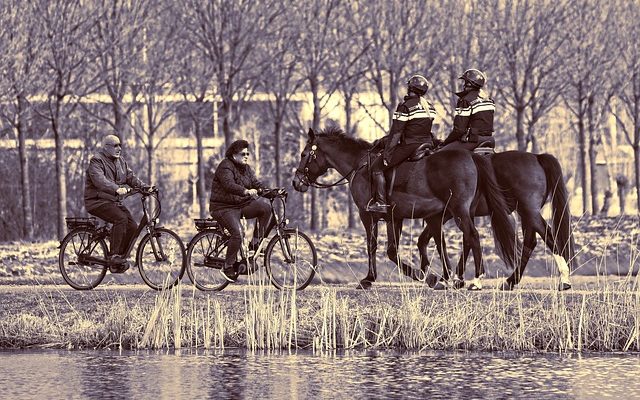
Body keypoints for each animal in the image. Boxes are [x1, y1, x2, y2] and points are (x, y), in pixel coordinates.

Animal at [292, 126, 516, 290]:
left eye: (304, 154)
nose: (296, 182)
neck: (360, 164)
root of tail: (473, 156)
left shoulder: (367, 215)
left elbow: (373, 246)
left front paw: (369, 279)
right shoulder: (396, 217)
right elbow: (394, 250)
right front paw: (426, 275)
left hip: (459, 211)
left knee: (473, 236)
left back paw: (476, 279)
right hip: (456, 213)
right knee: (461, 239)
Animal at [416, 150, 576, 290]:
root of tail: (537, 157)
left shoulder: (447, 214)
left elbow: (451, 240)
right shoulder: (455, 214)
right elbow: (430, 239)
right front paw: (455, 279)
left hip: (529, 212)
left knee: (548, 235)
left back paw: (564, 280)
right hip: (527, 214)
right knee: (530, 242)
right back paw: (511, 281)